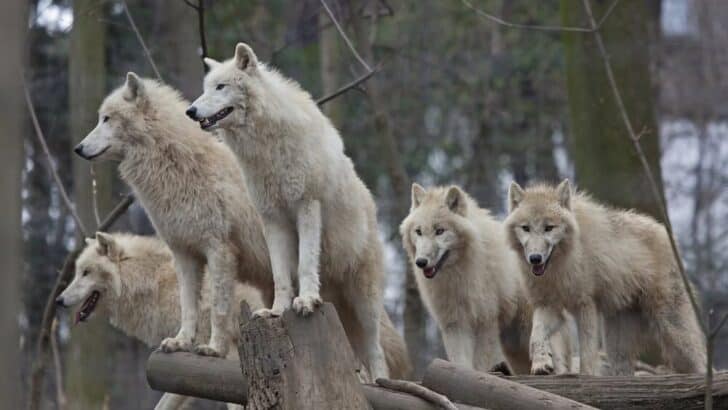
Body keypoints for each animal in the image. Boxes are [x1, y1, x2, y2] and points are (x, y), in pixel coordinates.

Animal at [74, 73, 273, 359]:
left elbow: (218, 307)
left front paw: (213, 348)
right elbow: (187, 306)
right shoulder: (183, 252)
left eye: (107, 118)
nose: (78, 148)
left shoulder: (219, 250)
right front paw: (180, 342)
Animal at [186, 43, 389, 379]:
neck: (265, 149)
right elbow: (281, 273)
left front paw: (304, 301)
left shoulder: (306, 206)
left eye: (221, 87)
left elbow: (305, 263)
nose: (190, 111)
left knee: (377, 350)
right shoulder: (272, 218)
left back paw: (383, 381)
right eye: (204, 88)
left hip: (365, 299)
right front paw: (277, 310)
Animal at [400, 184, 572, 375]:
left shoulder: (485, 322)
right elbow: (460, 361)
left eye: (440, 231)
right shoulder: (454, 324)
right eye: (418, 231)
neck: (459, 274)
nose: (421, 262)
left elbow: (481, 362)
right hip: (514, 347)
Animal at [505, 179, 706, 375]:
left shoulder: (585, 305)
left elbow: (587, 353)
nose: (535, 258)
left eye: (549, 228)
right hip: (616, 346)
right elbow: (536, 335)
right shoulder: (548, 305)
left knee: (700, 363)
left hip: (673, 331)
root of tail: (666, 233)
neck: (560, 266)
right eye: (526, 228)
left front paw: (586, 376)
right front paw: (541, 363)